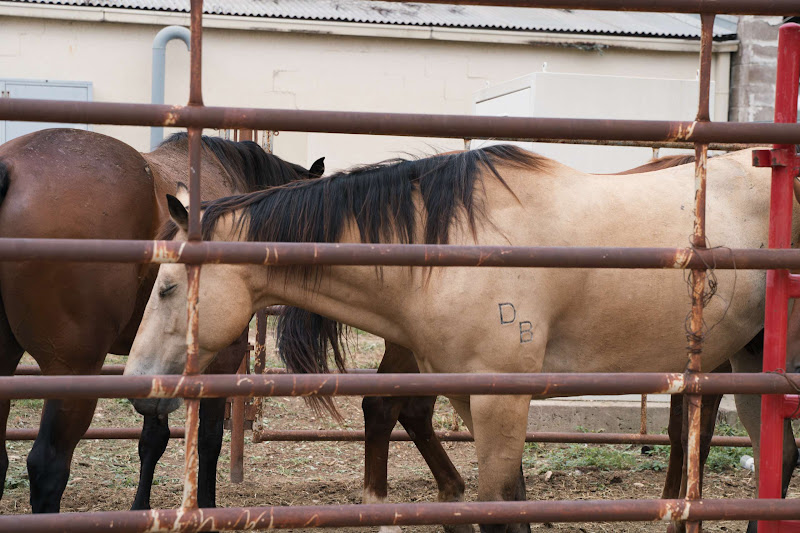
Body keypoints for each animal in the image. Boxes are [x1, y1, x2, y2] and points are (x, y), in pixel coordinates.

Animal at [0, 128, 323, 513]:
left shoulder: (159, 358)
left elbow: (153, 438)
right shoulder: (222, 355)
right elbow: (209, 437)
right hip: (73, 371)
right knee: (48, 466)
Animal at [124, 145, 799, 532]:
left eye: (168, 288)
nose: (135, 386)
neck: (450, 246)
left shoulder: (502, 398)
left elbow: (500, 509)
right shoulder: (468, 397)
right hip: (748, 361)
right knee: (777, 457)